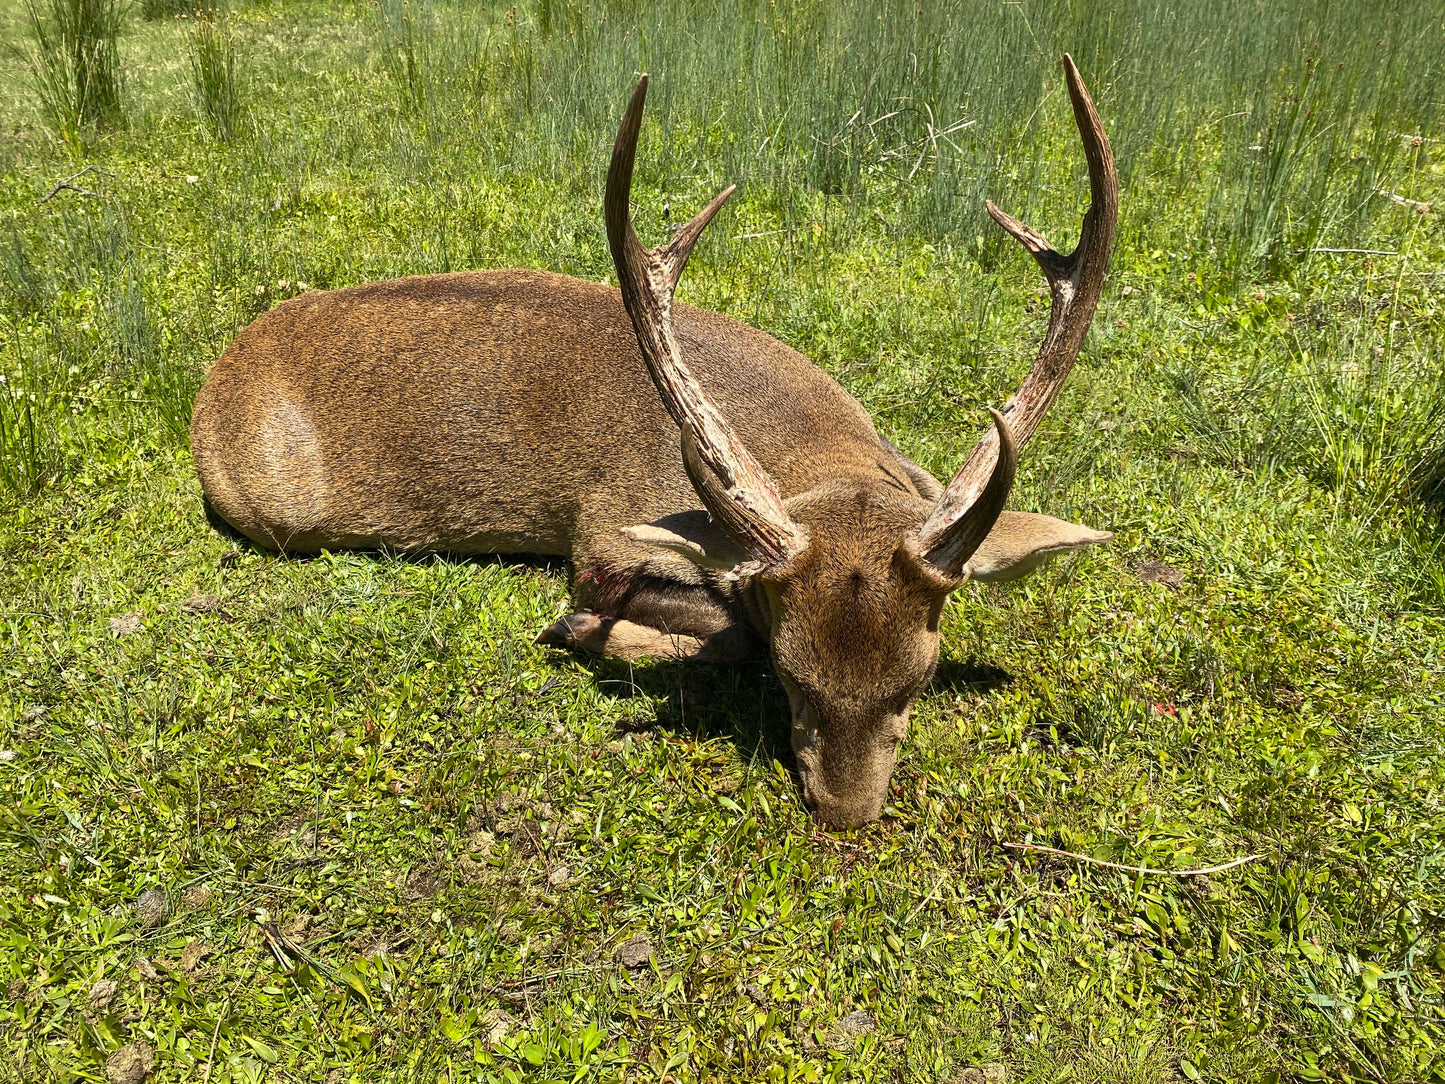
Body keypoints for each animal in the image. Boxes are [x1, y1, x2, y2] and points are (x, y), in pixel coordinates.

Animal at [190, 55, 1117, 827]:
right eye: (791, 675)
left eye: (920, 676)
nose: (845, 811)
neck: (812, 451)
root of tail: (216, 376)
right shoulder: (605, 535)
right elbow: (708, 628)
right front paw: (579, 629)